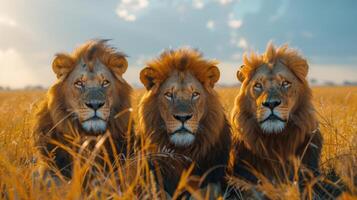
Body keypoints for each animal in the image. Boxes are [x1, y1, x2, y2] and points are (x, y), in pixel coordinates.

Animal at [136, 48, 231, 197]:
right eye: (169, 94)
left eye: (195, 94)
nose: (183, 117)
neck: (182, 151)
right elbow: (157, 191)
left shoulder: (214, 177)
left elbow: (206, 190)